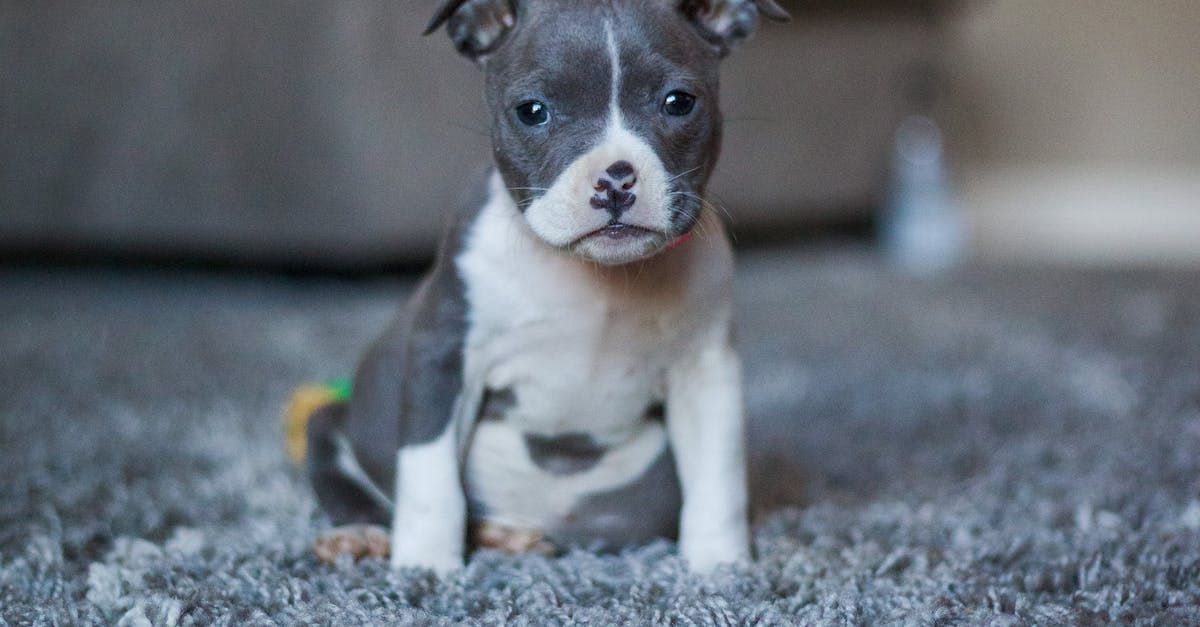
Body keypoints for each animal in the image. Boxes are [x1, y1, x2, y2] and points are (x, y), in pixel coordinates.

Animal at [304, 0, 787, 571]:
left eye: (679, 102)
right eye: (532, 111)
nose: (616, 179)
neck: (597, 275)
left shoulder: (706, 371)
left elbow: (718, 477)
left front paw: (720, 567)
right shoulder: (443, 356)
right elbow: (429, 476)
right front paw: (425, 567)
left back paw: (505, 536)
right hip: (333, 422)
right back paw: (360, 534)